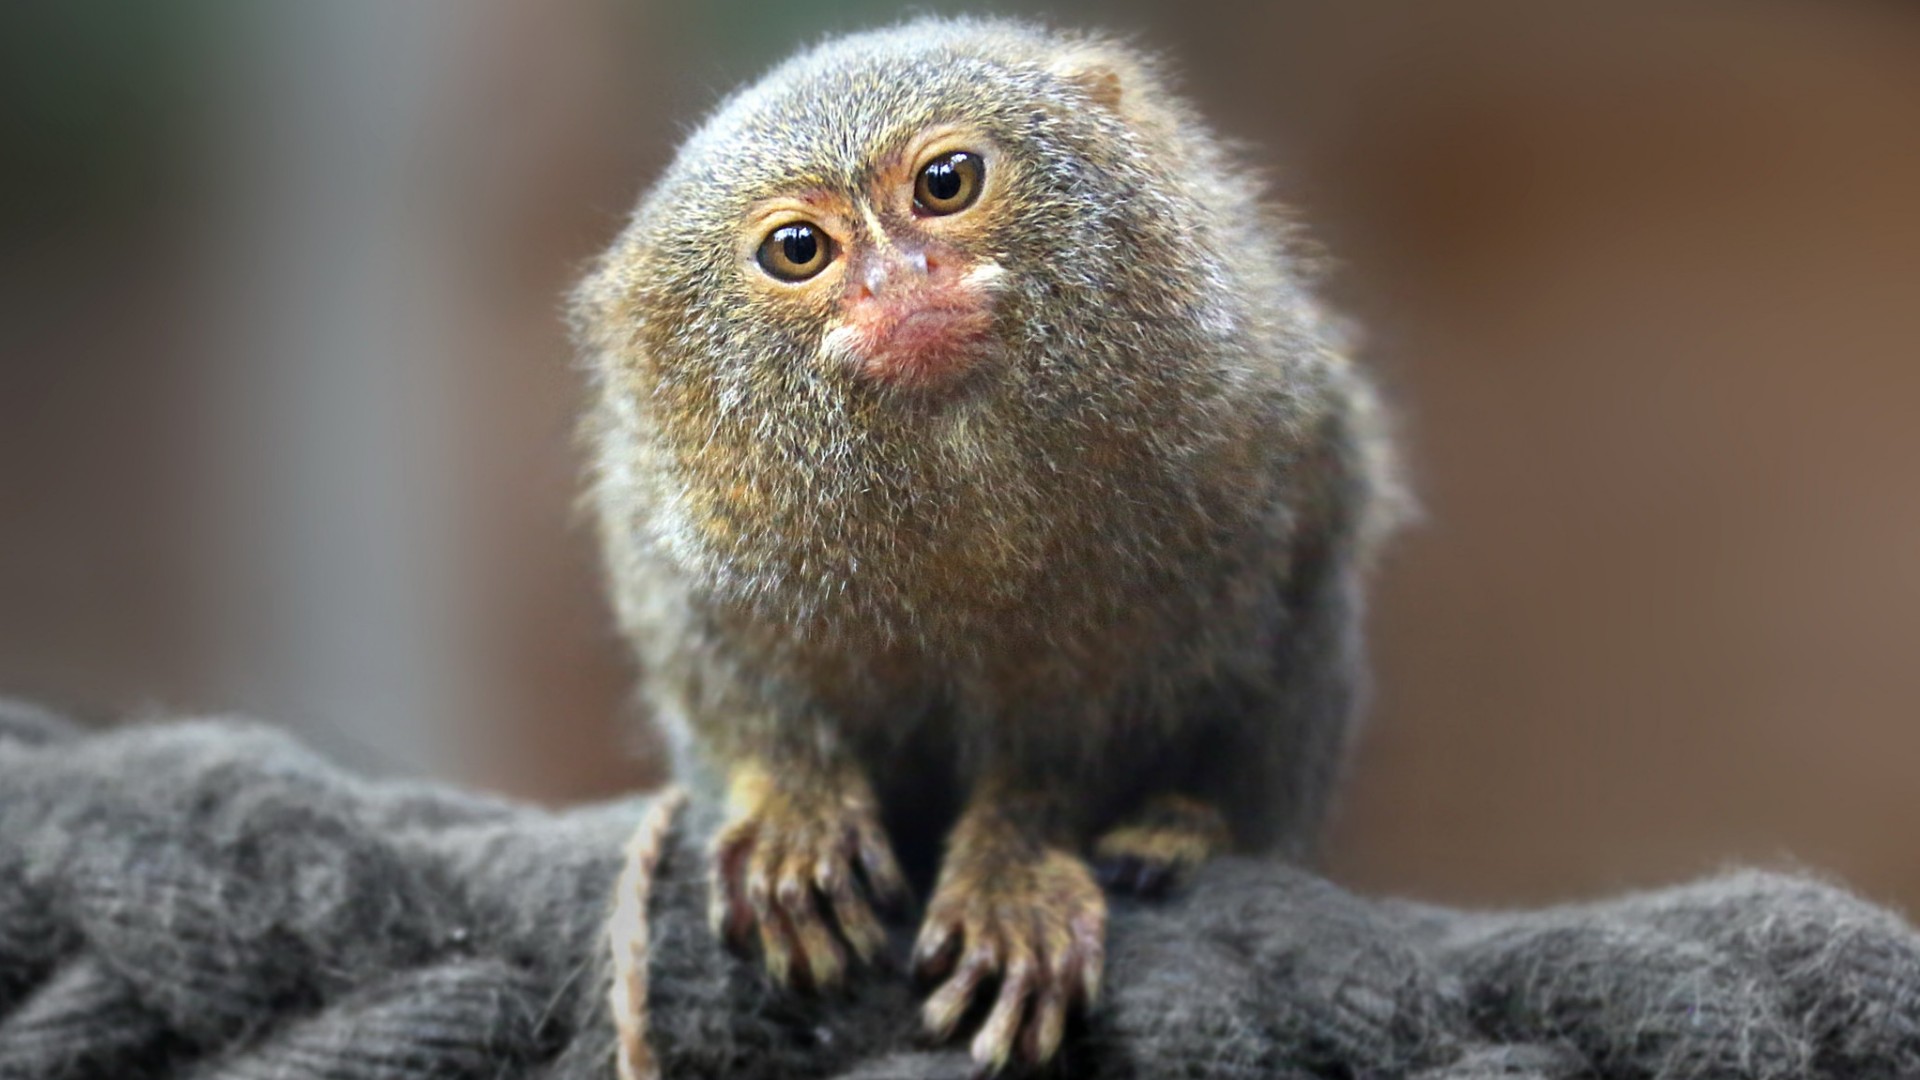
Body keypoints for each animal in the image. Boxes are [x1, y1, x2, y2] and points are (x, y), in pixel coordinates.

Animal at [568, 16, 1397, 1068]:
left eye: (945, 183)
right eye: (798, 249)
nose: (900, 282)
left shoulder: (1235, 456)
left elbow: (1097, 725)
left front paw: (1015, 869)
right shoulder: (679, 528)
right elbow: (718, 681)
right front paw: (795, 809)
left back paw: (1182, 825)